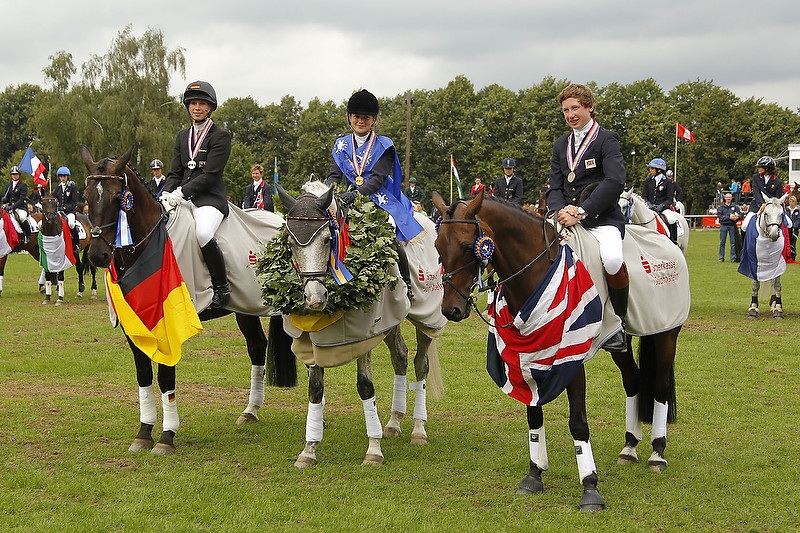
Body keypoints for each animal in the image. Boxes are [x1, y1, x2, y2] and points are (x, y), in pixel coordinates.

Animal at [80, 144, 296, 454]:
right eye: (86, 197)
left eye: (116, 197)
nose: (98, 255)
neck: (148, 245)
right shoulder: (134, 324)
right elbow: (143, 374)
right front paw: (143, 433)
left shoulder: (168, 321)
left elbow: (165, 376)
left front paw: (166, 437)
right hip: (245, 307)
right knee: (256, 347)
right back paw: (250, 411)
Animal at [432, 190, 680, 512]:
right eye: (437, 246)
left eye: (466, 246)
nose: (451, 310)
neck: (538, 270)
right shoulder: (529, 355)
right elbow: (534, 415)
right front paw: (534, 474)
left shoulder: (571, 358)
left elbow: (578, 423)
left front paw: (590, 488)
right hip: (622, 348)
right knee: (633, 382)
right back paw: (629, 447)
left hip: (665, 335)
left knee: (660, 386)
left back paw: (657, 453)